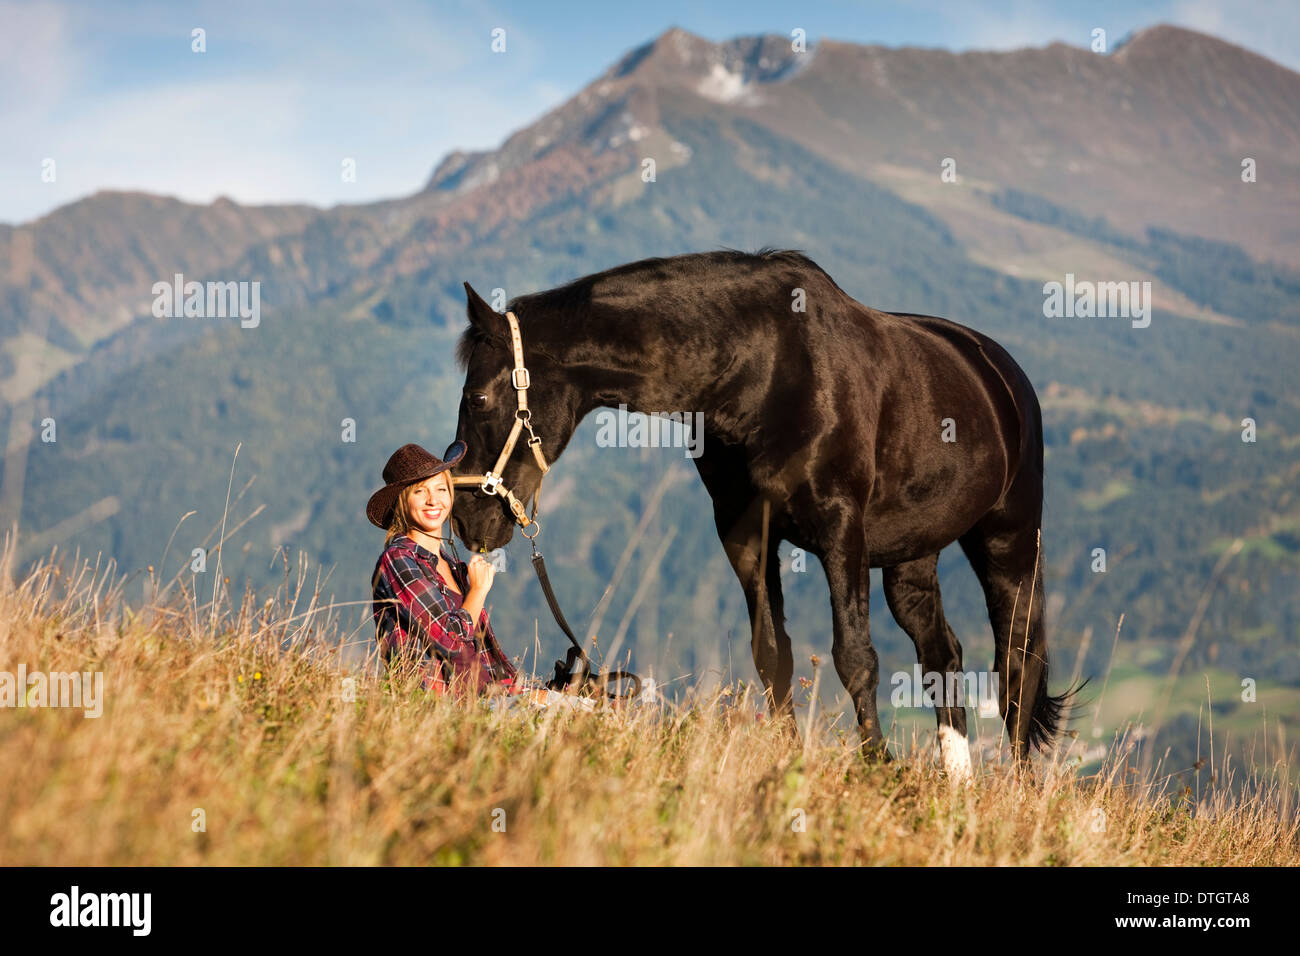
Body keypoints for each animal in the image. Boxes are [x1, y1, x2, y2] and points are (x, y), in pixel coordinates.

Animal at [449, 248, 1076, 780]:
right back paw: (958, 785)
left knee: (1017, 663)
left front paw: (877, 767)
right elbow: (772, 653)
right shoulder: (744, 533)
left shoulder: (840, 530)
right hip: (910, 558)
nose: (465, 520)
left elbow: (855, 656)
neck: (765, 369)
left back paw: (1018, 789)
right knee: (942, 656)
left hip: (1008, 541)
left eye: (477, 398)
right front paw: (789, 758)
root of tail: (999, 373)